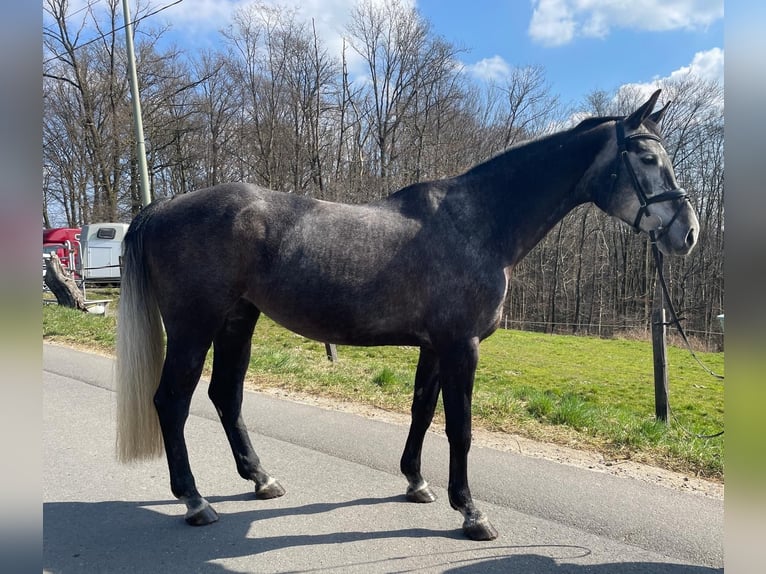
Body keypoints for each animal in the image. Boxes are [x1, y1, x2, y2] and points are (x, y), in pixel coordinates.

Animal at [117, 89, 700, 540]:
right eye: (647, 160)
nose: (688, 233)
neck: (479, 223)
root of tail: (159, 207)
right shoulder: (462, 346)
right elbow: (460, 428)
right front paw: (471, 512)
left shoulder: (434, 346)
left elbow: (422, 411)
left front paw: (417, 483)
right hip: (194, 328)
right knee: (172, 402)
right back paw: (195, 501)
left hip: (239, 320)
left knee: (226, 396)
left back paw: (262, 480)